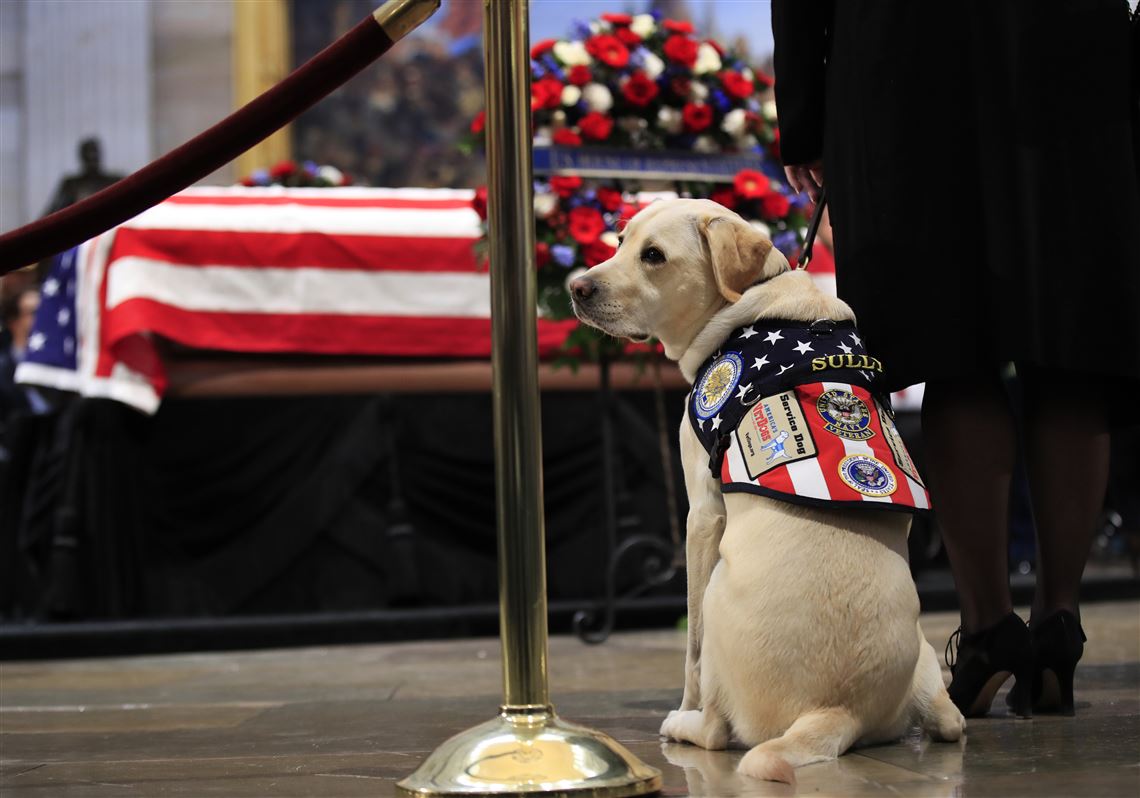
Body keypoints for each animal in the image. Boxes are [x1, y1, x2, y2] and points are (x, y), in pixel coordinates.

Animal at [570, 199, 962, 784]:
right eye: (619, 241)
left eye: (654, 256)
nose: (576, 287)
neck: (753, 306)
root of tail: (836, 709)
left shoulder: (702, 513)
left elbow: (689, 651)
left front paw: (682, 704)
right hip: (926, 660)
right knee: (951, 720)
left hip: (716, 595)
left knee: (715, 727)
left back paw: (682, 724)